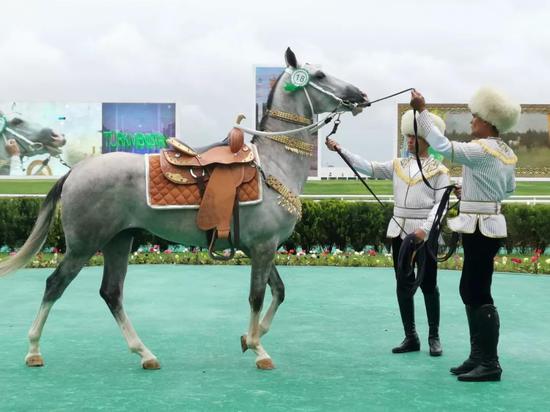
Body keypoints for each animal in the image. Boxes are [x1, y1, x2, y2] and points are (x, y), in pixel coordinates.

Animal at [1, 48, 370, 370]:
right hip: (84, 245)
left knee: (111, 292)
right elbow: (257, 297)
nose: (360, 95)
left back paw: (144, 353)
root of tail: (75, 171)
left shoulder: (260, 247)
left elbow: (278, 292)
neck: (273, 166)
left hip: (119, 240)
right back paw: (34, 349)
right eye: (319, 75)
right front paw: (258, 349)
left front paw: (250, 338)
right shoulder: (263, 246)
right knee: (55, 284)